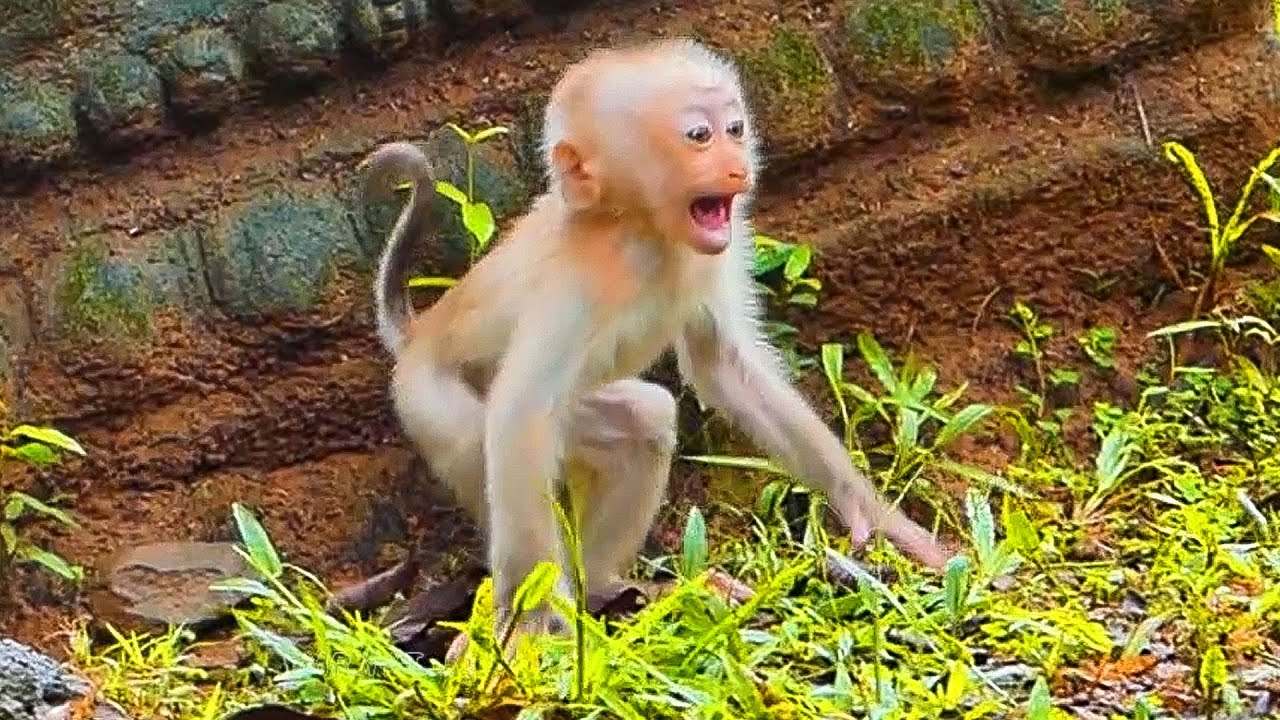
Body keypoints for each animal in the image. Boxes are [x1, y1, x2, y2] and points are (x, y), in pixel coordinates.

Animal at [359, 37, 951, 641]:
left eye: (735, 128)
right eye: (699, 136)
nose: (738, 166)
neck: (641, 232)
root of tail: (419, 335)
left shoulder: (716, 252)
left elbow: (725, 368)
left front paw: (873, 515)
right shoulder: (577, 284)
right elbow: (521, 413)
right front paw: (536, 623)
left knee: (645, 421)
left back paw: (609, 587)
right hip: (434, 407)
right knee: (491, 443)